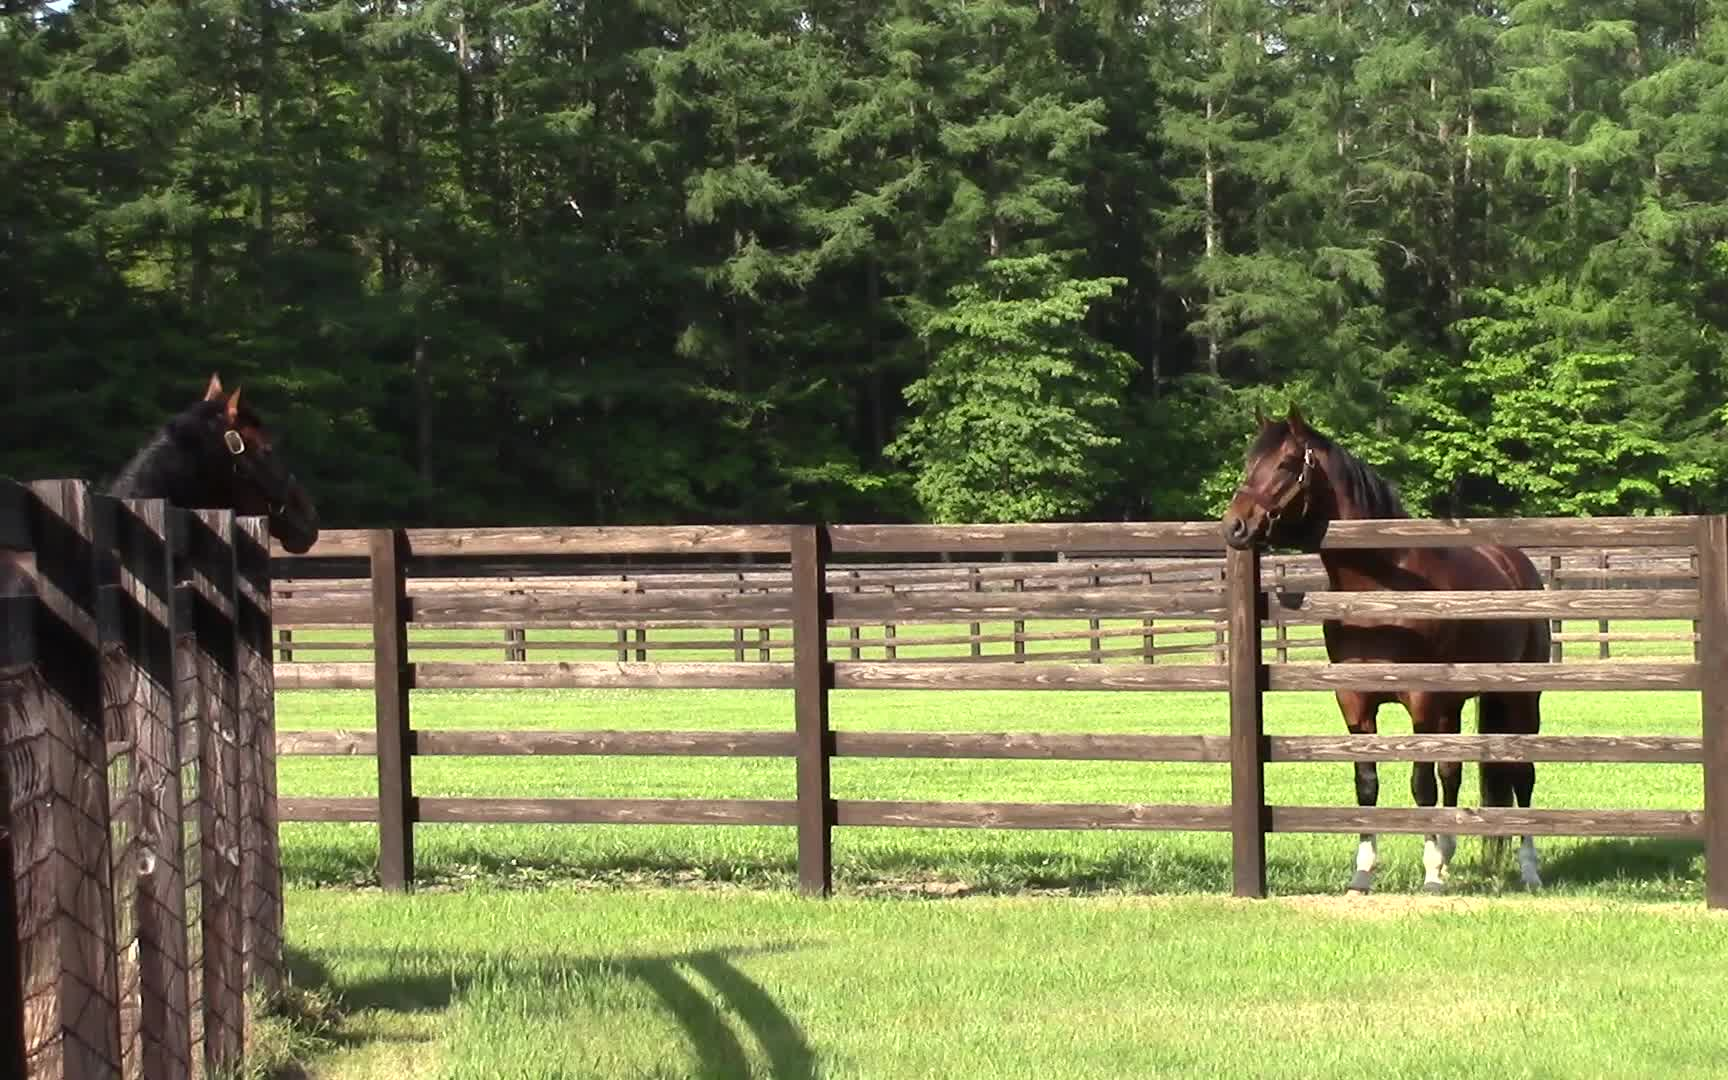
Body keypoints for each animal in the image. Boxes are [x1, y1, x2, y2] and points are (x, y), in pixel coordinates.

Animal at [1216, 406, 1555, 891]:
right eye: (1250, 463)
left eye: (1285, 464)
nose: (1235, 526)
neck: (1381, 591)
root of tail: (1516, 563)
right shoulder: (1355, 702)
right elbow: (1367, 783)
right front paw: (1363, 873)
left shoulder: (1421, 700)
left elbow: (1421, 784)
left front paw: (1430, 874)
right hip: (1454, 705)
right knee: (1454, 770)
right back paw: (1450, 853)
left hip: (1520, 696)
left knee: (1522, 775)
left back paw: (1528, 870)